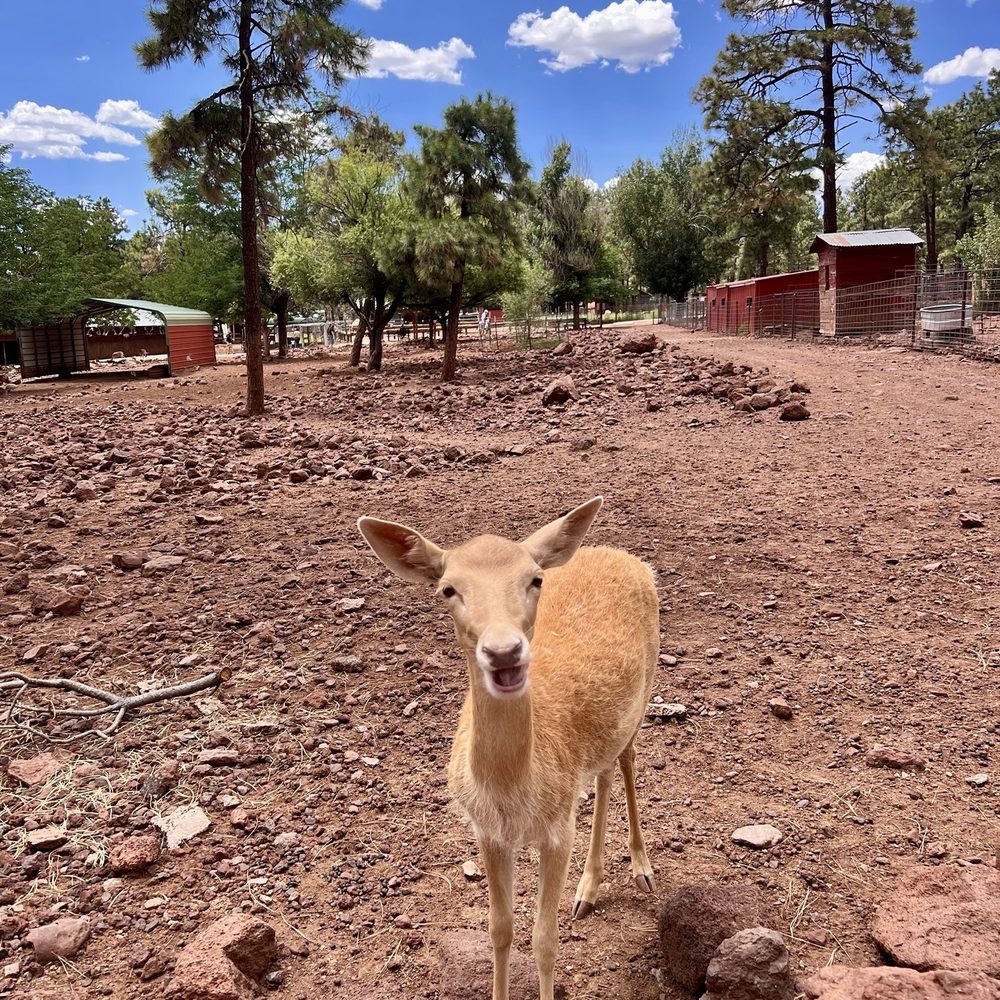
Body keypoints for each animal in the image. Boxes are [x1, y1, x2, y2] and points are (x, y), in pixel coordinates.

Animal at [357, 497, 659, 1000]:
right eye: (447, 588)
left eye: (534, 579)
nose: (503, 652)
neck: (512, 790)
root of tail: (622, 555)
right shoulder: (487, 831)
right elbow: (500, 930)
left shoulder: (558, 829)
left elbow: (545, 939)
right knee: (603, 772)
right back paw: (588, 889)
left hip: (646, 690)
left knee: (628, 761)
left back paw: (640, 868)